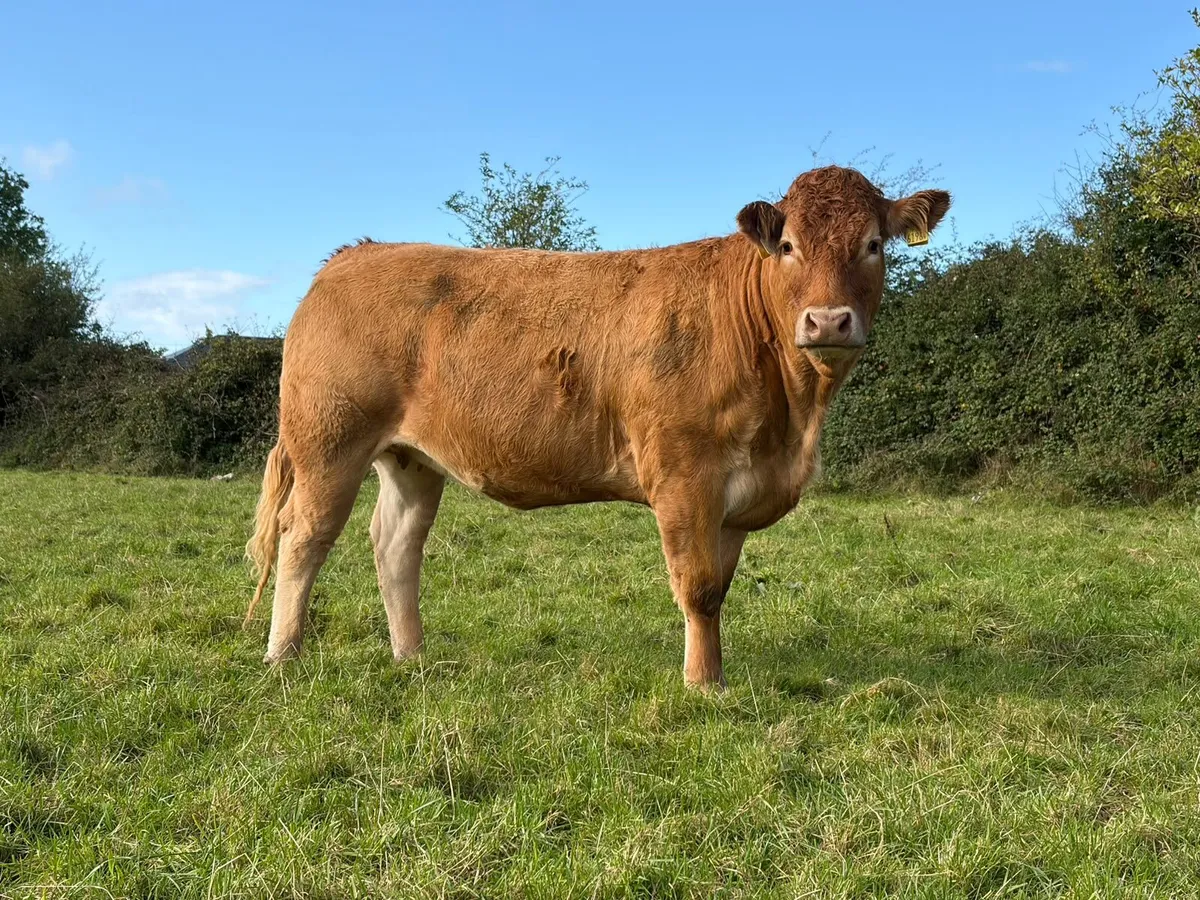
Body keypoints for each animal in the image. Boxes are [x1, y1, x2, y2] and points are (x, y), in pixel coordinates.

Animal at [245, 165, 951, 688]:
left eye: (874, 245)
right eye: (787, 246)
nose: (828, 321)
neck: (791, 420)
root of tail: (352, 256)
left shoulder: (737, 494)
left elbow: (718, 590)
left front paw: (716, 676)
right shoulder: (684, 474)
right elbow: (697, 587)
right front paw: (701, 687)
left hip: (411, 458)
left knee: (395, 543)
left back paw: (412, 656)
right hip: (328, 442)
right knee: (303, 536)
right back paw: (283, 655)